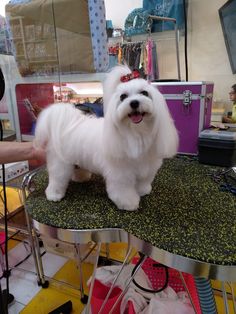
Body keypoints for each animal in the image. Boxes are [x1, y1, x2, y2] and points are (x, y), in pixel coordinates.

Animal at [34, 64, 179, 210]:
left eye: (144, 93)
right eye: (123, 96)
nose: (134, 103)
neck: (137, 133)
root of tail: (67, 124)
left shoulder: (147, 167)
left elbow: (143, 181)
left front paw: (143, 191)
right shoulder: (121, 173)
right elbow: (123, 190)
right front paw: (129, 203)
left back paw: (81, 177)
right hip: (60, 163)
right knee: (57, 178)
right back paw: (54, 195)